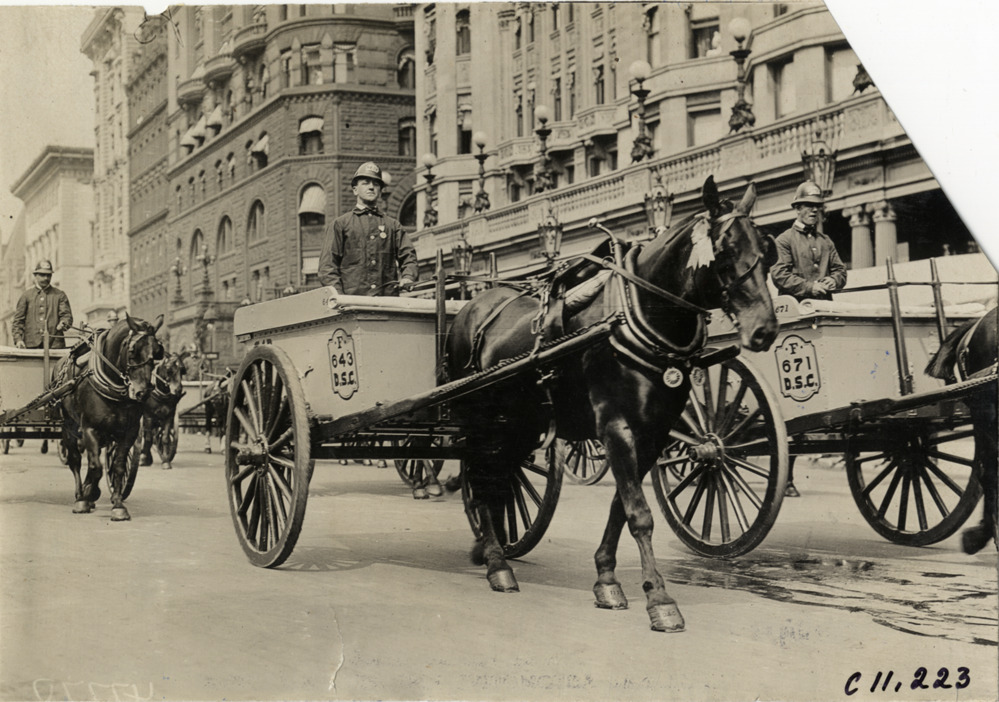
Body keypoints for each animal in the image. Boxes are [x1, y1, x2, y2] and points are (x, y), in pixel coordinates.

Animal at [56, 314, 165, 520]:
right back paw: (80, 494)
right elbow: (96, 466)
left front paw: (118, 505)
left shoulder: (129, 432)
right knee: (75, 460)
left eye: (157, 352)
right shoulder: (89, 429)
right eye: (133, 350)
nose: (143, 392)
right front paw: (87, 496)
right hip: (68, 426)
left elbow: (118, 467)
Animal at [445, 176, 777, 632]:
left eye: (767, 249)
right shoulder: (615, 426)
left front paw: (606, 577)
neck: (635, 314)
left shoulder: (652, 433)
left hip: (519, 424)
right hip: (482, 422)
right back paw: (497, 563)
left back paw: (488, 550)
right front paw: (659, 598)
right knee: (480, 483)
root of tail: (470, 308)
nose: (765, 330)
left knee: (497, 482)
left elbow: (622, 506)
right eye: (725, 252)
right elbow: (640, 512)